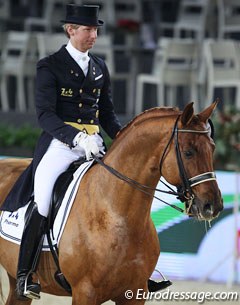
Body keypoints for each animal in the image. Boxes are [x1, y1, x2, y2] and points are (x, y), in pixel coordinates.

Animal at [0, 102, 223, 304]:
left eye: (212, 148)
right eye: (188, 152)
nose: (213, 206)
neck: (116, 214)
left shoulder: (134, 293)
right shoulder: (84, 293)